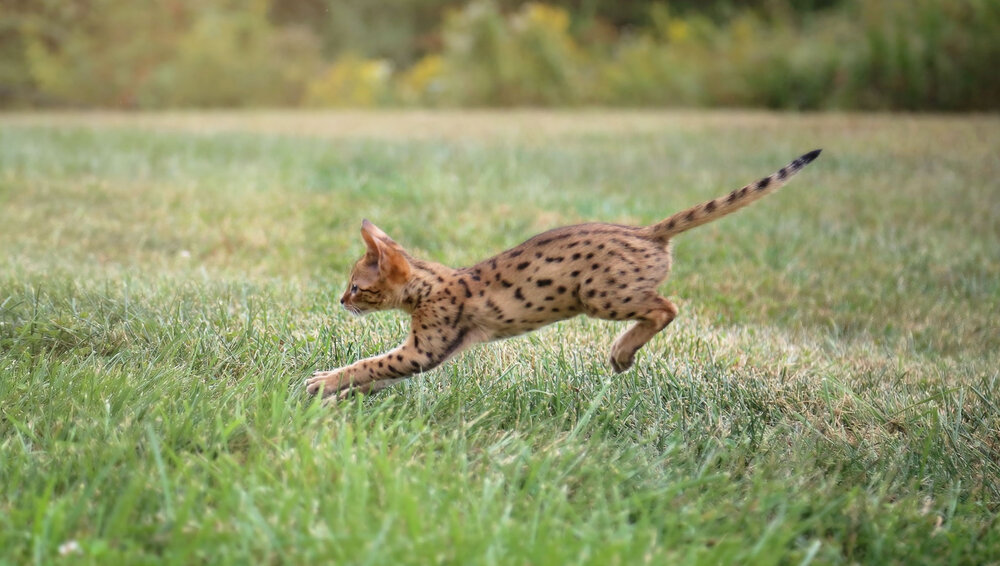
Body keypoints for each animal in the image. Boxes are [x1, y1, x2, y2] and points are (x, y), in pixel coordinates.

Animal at [304, 149, 820, 402]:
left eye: (356, 286)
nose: (340, 301)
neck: (429, 282)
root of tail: (647, 231)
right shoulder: (427, 352)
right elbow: (377, 374)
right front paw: (341, 393)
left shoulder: (426, 347)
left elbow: (371, 363)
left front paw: (323, 384)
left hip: (599, 295)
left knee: (666, 306)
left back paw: (621, 353)